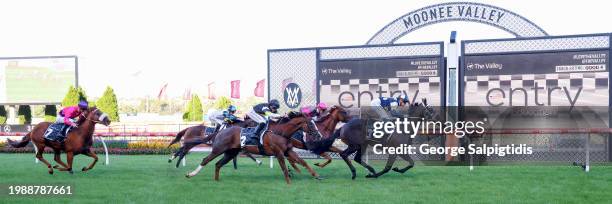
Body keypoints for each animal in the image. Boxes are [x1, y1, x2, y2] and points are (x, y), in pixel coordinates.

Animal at [185, 112, 322, 184]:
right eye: (311, 124)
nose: (319, 135)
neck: (281, 132)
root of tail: (221, 131)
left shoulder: (288, 151)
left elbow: (303, 162)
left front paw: (316, 175)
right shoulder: (278, 153)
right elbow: (284, 167)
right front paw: (289, 182)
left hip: (230, 153)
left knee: (218, 164)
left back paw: (217, 180)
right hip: (218, 149)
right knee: (206, 160)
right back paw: (191, 174)